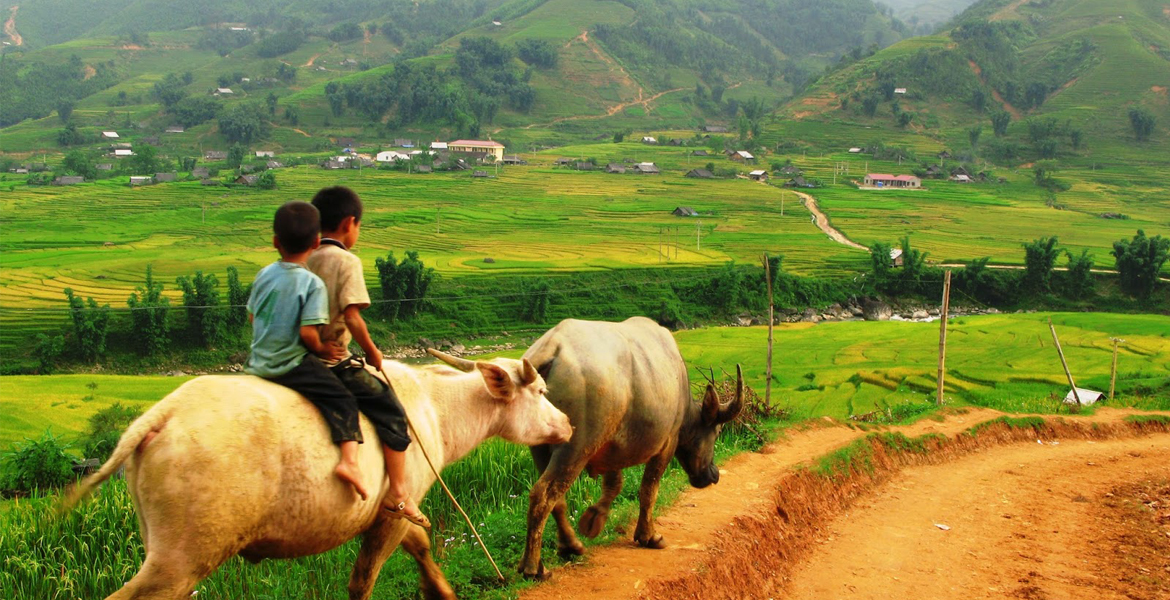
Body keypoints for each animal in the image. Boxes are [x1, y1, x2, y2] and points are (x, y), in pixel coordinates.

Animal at [64, 350, 570, 598]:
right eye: (541, 392)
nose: (567, 424)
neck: (435, 409)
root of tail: (162, 415)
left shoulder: (394, 512)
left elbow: (422, 546)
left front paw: (441, 591)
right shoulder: (391, 515)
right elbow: (363, 580)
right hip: (181, 560)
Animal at [519, 315, 744, 577]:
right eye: (717, 432)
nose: (714, 474)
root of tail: (550, 349)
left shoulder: (611, 447)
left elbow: (614, 485)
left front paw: (594, 519)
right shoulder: (667, 443)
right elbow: (649, 489)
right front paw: (649, 536)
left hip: (540, 447)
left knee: (555, 498)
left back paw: (568, 546)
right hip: (576, 447)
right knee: (543, 494)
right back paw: (533, 566)